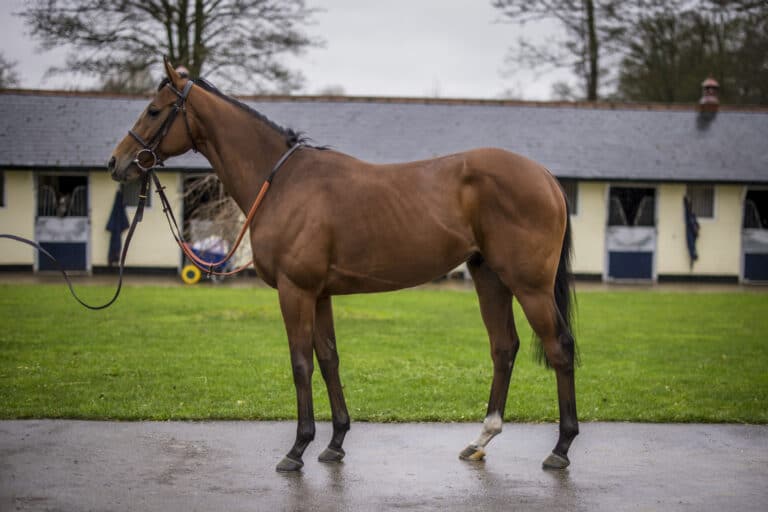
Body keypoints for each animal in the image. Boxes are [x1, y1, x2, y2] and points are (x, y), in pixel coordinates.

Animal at [108, 58, 579, 473]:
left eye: (154, 110)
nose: (117, 162)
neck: (282, 182)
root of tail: (545, 177)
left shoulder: (295, 290)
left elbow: (301, 361)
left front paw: (297, 449)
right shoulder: (320, 294)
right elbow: (329, 358)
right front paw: (334, 442)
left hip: (529, 286)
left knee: (559, 348)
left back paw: (560, 448)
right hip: (490, 278)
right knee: (504, 347)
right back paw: (481, 439)